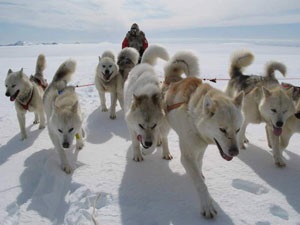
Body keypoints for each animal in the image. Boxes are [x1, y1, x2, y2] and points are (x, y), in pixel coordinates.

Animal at [162, 50, 244, 218]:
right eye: (222, 129)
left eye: (237, 130)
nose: (235, 152)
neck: (193, 116)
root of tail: (172, 78)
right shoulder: (187, 156)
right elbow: (201, 185)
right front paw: (207, 205)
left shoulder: (201, 148)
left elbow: (199, 167)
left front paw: (201, 175)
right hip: (166, 125)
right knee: (164, 137)